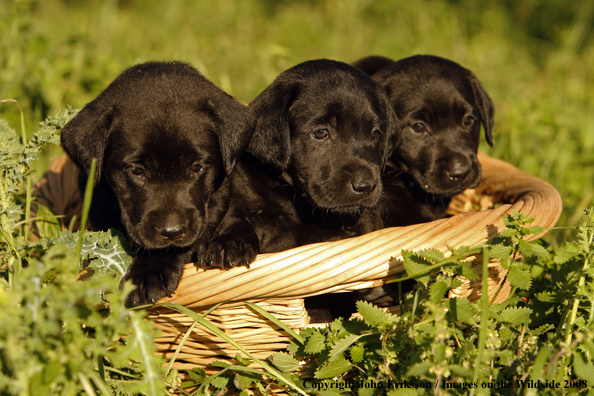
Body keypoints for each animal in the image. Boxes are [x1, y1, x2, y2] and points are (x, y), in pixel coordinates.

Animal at [199, 59, 398, 270]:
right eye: (321, 132)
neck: (297, 200)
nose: (365, 186)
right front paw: (230, 242)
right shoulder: (241, 196)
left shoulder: (367, 220)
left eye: (375, 134)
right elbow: (235, 218)